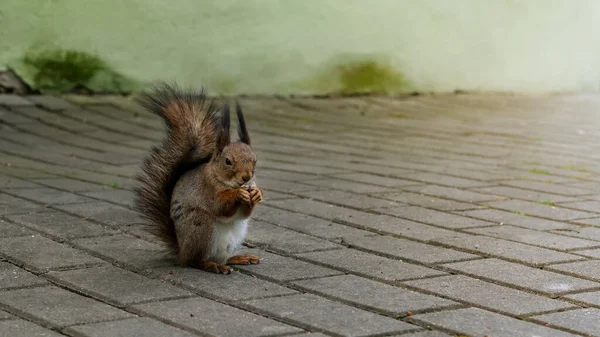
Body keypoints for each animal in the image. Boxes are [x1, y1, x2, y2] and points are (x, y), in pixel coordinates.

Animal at [135, 83, 264, 272]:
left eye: (255, 160)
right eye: (228, 161)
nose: (246, 177)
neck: (225, 181)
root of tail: (182, 252)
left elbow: (244, 213)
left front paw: (257, 193)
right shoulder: (207, 188)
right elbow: (219, 206)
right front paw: (237, 194)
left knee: (223, 258)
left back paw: (238, 258)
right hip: (200, 226)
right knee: (195, 261)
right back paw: (211, 265)